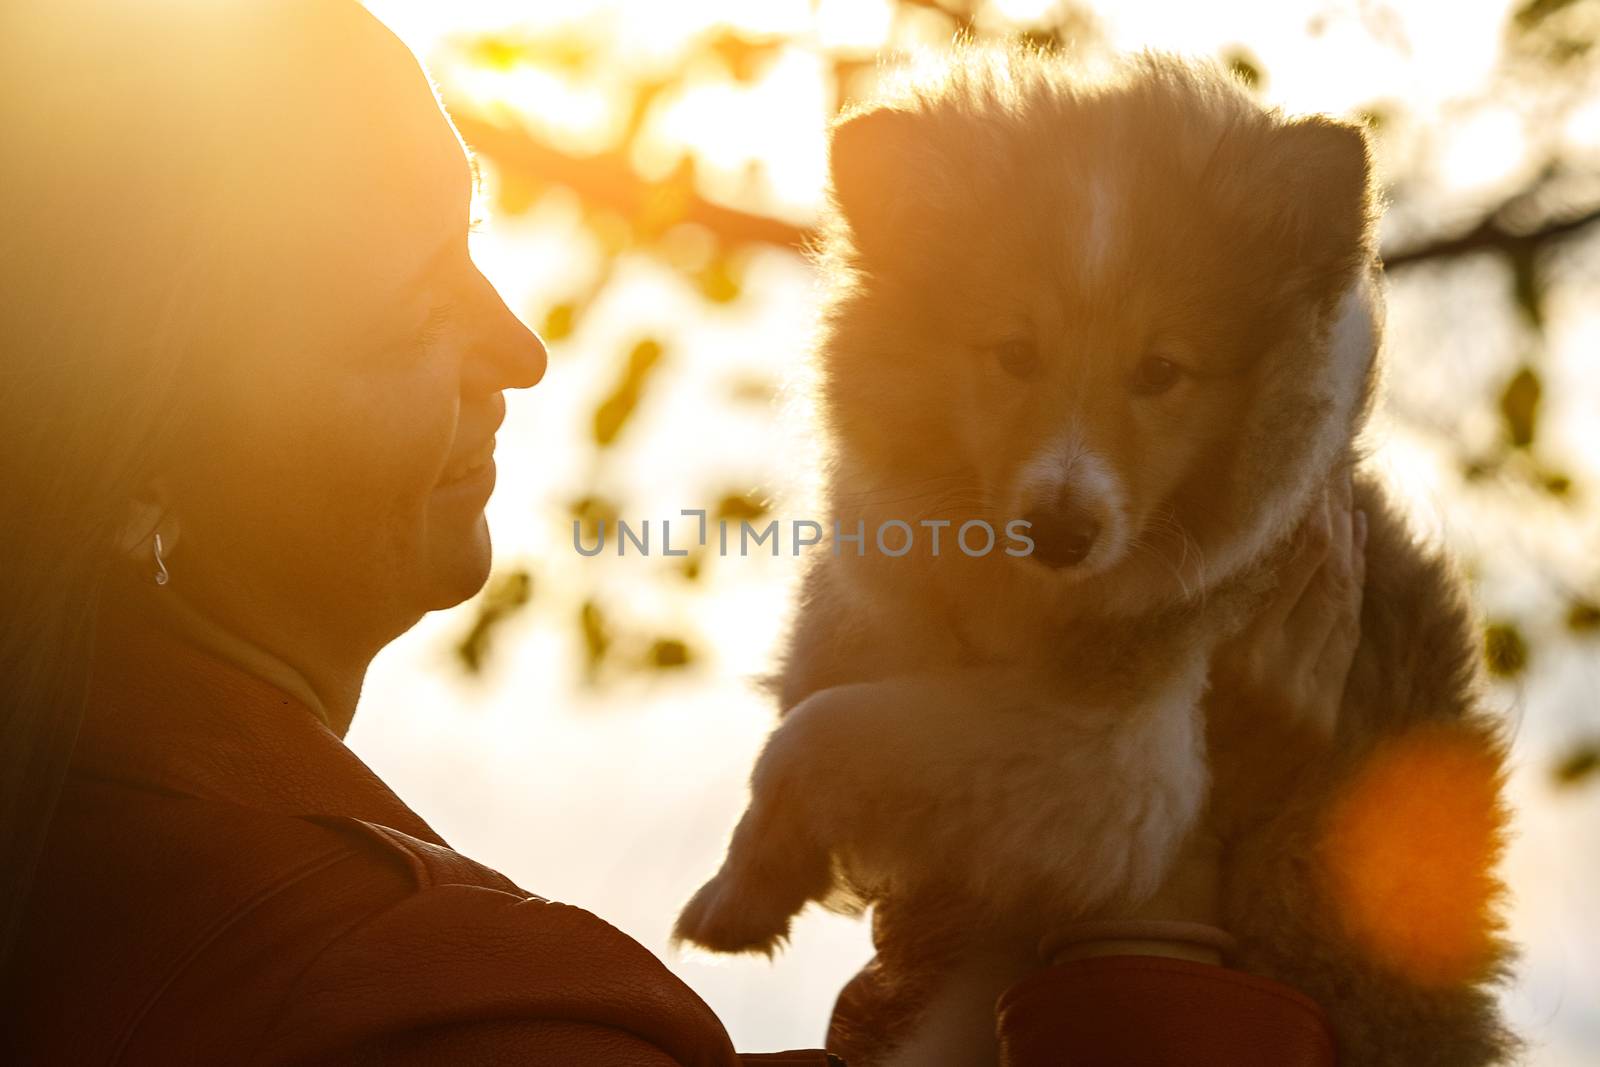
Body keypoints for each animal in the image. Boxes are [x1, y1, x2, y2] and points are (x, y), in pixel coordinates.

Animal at [672, 47, 1510, 1067]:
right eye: (1013, 352)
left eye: (1161, 372)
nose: (1060, 531)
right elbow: (822, 688)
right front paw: (750, 888)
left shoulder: (1113, 758)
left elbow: (813, 730)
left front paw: (734, 895)